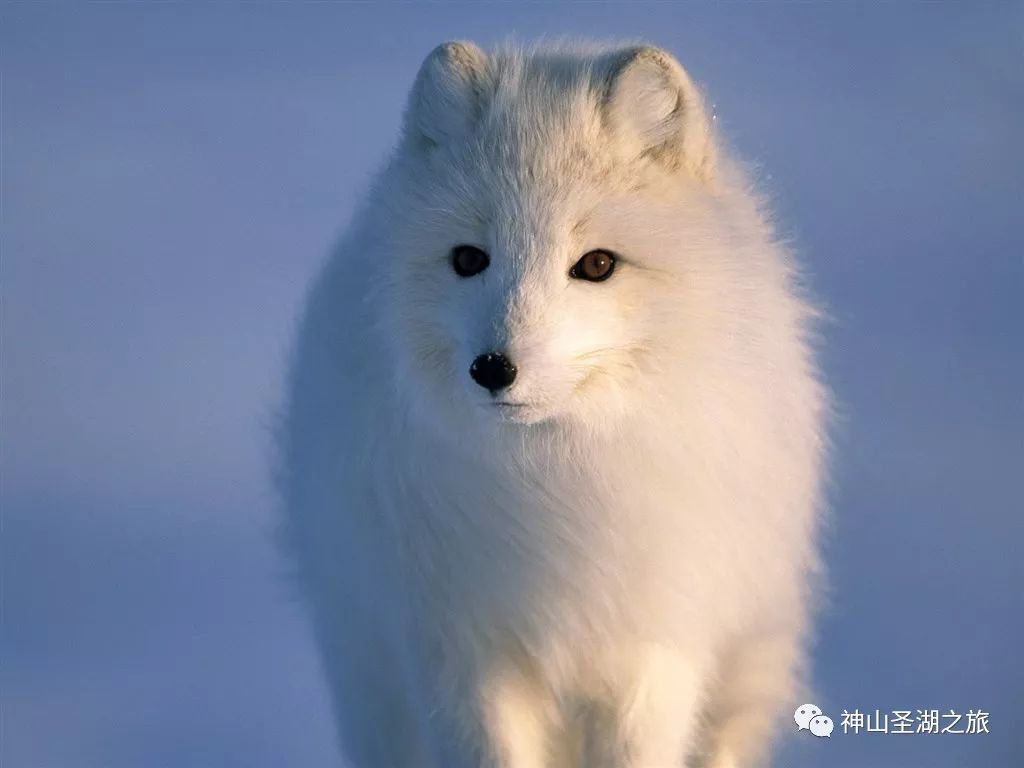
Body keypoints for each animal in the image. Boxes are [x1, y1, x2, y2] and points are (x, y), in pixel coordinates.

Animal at [278, 40, 823, 768]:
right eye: (468, 259)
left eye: (596, 265)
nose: (493, 368)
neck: (557, 483)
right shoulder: (462, 655)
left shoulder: (652, 651)